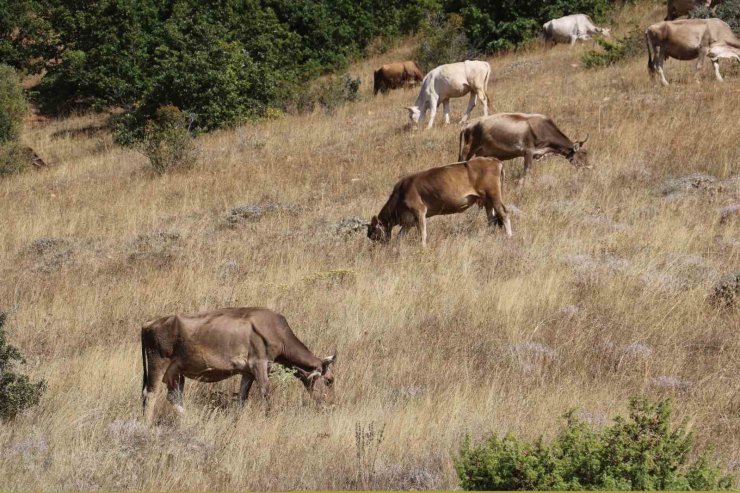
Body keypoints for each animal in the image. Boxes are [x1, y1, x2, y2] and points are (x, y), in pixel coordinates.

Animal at [141, 306, 336, 420]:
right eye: (329, 381)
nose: (331, 405)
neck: (276, 330)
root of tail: (148, 323)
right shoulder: (260, 365)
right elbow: (266, 393)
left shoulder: (247, 372)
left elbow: (242, 398)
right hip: (157, 364)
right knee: (150, 395)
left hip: (175, 372)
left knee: (174, 397)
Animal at [368, 158, 512, 246]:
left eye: (374, 233)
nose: (376, 248)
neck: (401, 194)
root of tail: (495, 161)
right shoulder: (409, 221)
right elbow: (400, 236)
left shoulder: (419, 211)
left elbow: (422, 234)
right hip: (487, 200)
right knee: (491, 219)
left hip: (494, 195)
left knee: (503, 213)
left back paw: (509, 236)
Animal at [456, 112, 588, 184]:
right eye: (582, 155)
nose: (588, 168)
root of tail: (467, 124)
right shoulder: (528, 151)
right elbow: (527, 171)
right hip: (467, 150)